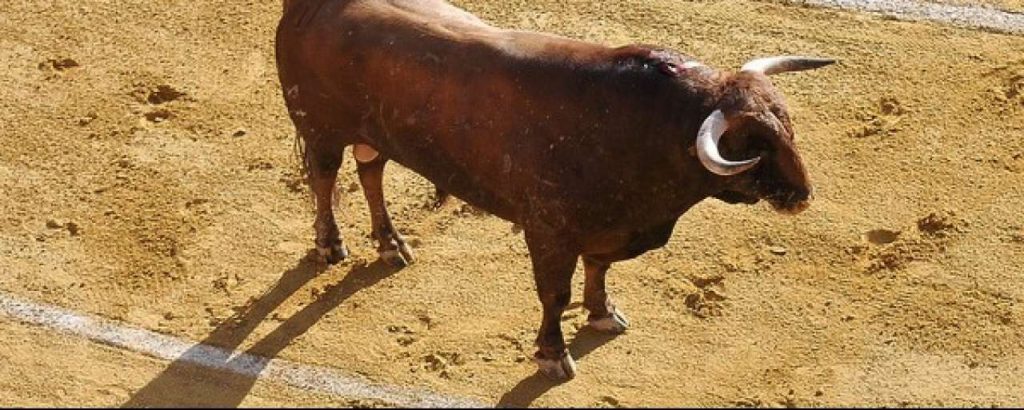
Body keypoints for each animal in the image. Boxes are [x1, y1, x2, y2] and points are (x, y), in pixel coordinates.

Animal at [275, 0, 834, 381]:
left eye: (788, 126)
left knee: (370, 172)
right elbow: (553, 293)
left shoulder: (607, 228)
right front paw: (552, 354)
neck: (649, 128)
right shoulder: (549, 234)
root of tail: (306, 5)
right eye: (751, 145)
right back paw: (330, 245)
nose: (803, 194)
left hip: (374, 134)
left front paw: (603, 314)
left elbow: (599, 270)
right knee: (325, 179)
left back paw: (391, 244)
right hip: (320, 129)